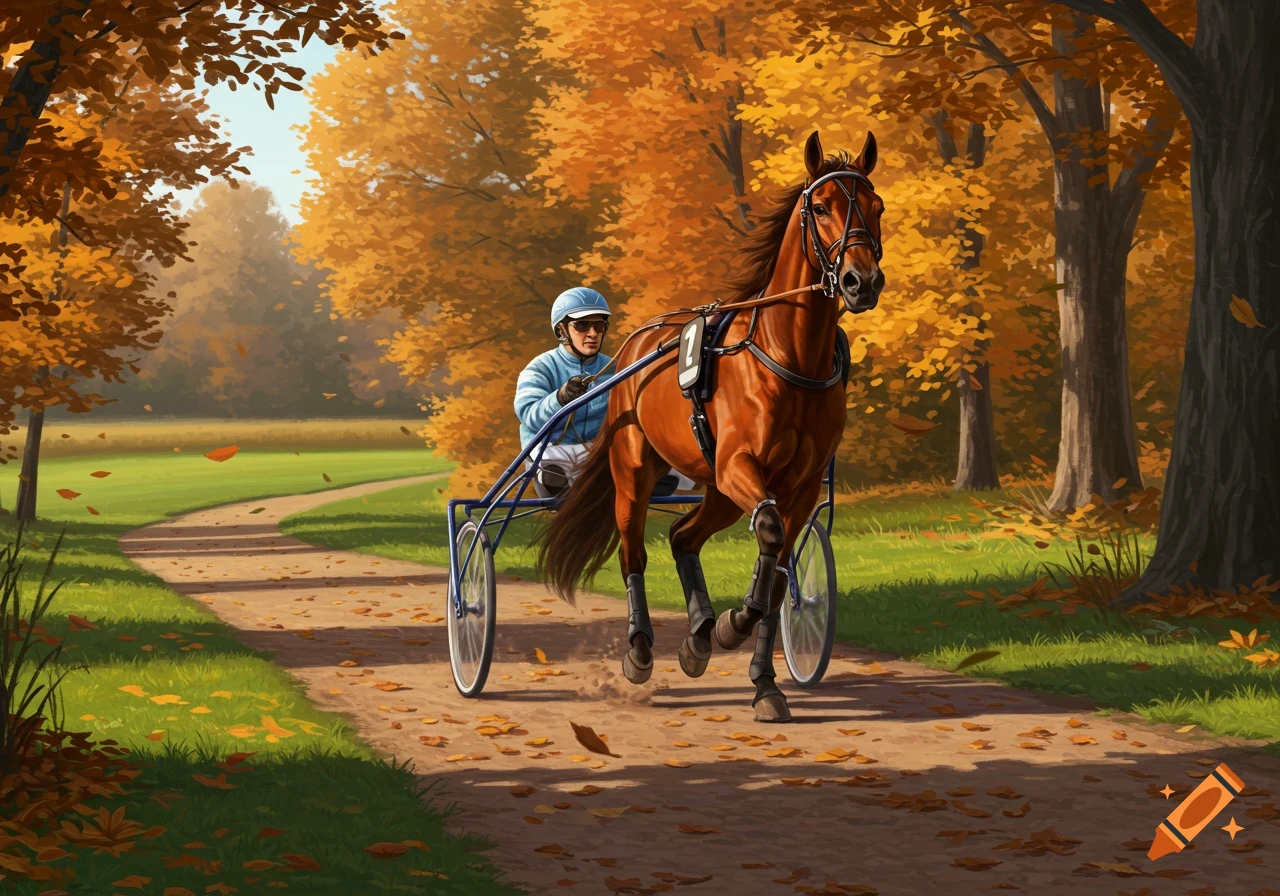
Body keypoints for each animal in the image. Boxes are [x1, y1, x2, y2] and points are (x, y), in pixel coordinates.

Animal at [536, 130, 886, 722]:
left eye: (878, 207)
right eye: (820, 207)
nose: (863, 282)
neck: (787, 356)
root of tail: (636, 342)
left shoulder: (799, 486)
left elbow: (779, 576)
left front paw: (763, 681)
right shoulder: (740, 464)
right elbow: (768, 535)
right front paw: (730, 626)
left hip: (717, 489)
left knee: (682, 535)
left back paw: (698, 635)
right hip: (637, 471)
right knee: (635, 551)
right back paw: (641, 650)